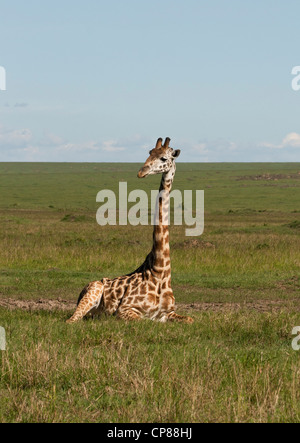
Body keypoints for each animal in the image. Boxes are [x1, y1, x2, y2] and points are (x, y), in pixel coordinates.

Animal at [66, 139, 193, 326]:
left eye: (163, 158)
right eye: (149, 152)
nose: (141, 172)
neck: (159, 270)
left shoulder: (168, 313)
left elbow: (190, 319)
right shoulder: (125, 309)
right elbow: (144, 321)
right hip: (93, 290)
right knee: (72, 320)